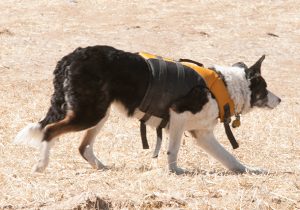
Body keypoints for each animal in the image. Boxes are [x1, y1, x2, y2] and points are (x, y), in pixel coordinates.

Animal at [14, 46, 282, 174]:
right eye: (265, 87)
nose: (280, 99)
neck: (225, 86)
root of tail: (72, 56)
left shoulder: (203, 135)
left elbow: (231, 159)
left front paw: (251, 170)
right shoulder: (178, 116)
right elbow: (173, 150)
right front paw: (175, 171)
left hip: (99, 113)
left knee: (83, 147)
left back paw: (101, 167)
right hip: (90, 113)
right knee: (49, 130)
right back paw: (41, 165)